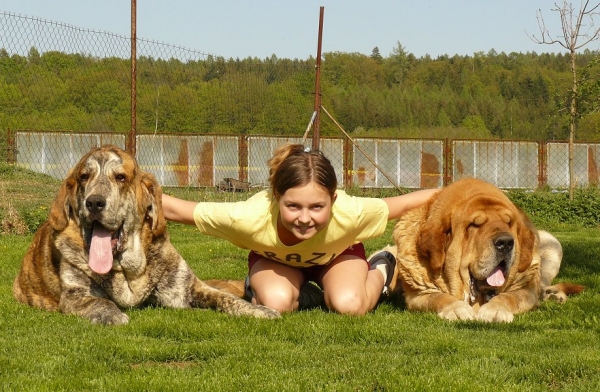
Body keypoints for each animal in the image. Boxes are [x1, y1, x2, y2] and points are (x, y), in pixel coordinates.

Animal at [11, 145, 278, 324]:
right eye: (84, 177)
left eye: (121, 177)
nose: (94, 202)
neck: (126, 270)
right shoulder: (77, 294)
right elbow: (99, 301)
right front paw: (112, 315)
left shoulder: (184, 287)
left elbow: (225, 298)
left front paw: (259, 310)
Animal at [382, 179, 584, 324]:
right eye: (474, 225)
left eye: (508, 222)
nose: (505, 242)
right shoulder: (419, 295)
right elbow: (440, 297)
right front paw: (457, 309)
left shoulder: (525, 290)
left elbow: (507, 297)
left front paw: (495, 310)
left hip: (552, 245)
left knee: (542, 284)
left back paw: (553, 295)